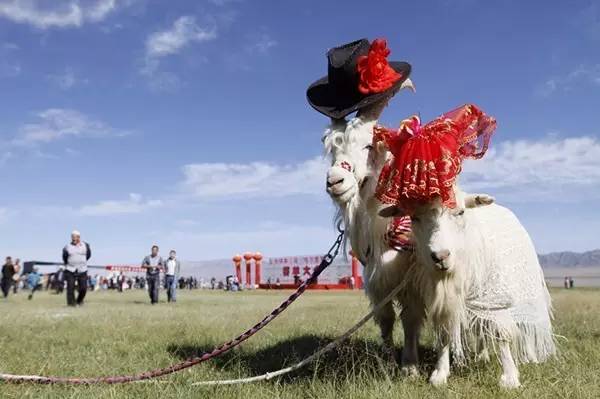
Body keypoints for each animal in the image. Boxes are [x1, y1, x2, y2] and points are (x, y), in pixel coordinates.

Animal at [406, 186, 556, 390]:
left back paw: (529, 357)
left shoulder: (495, 296)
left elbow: (501, 333)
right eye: (414, 218)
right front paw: (440, 373)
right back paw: (481, 355)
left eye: (460, 212)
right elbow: (445, 334)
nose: (440, 256)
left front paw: (510, 377)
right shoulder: (444, 302)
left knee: (522, 326)